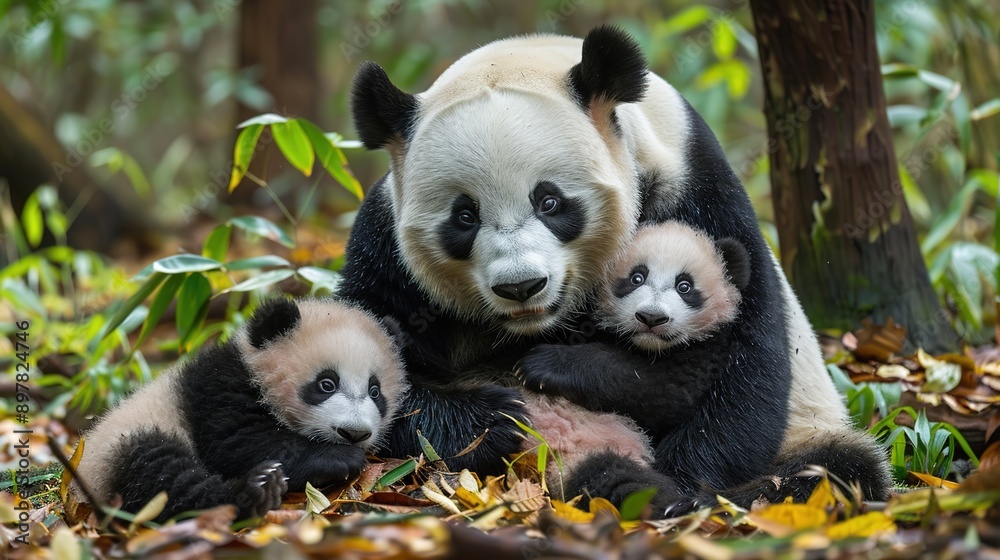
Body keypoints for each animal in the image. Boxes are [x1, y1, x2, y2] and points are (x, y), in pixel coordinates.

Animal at [69, 298, 407, 522]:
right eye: (326, 384)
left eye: (375, 392)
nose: (354, 433)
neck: (253, 369)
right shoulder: (216, 388)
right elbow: (237, 441)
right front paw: (338, 457)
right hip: (124, 443)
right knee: (160, 477)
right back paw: (254, 491)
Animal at [517, 221, 751, 443]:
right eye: (636, 278)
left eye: (684, 286)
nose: (651, 317)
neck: (648, 347)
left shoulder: (705, 352)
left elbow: (657, 389)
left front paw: (541, 364)